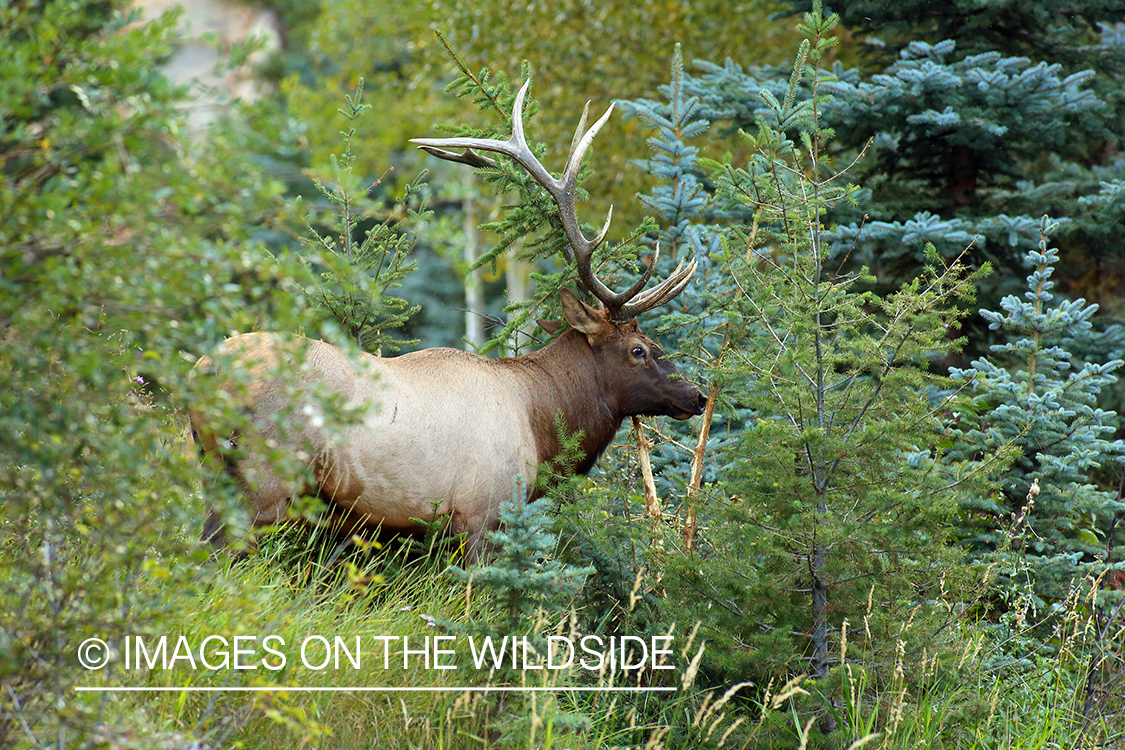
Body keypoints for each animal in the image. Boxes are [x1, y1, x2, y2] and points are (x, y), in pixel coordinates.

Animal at [192, 83, 702, 562]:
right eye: (638, 350)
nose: (695, 395)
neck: (541, 426)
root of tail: (203, 371)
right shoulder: (484, 513)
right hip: (261, 479)